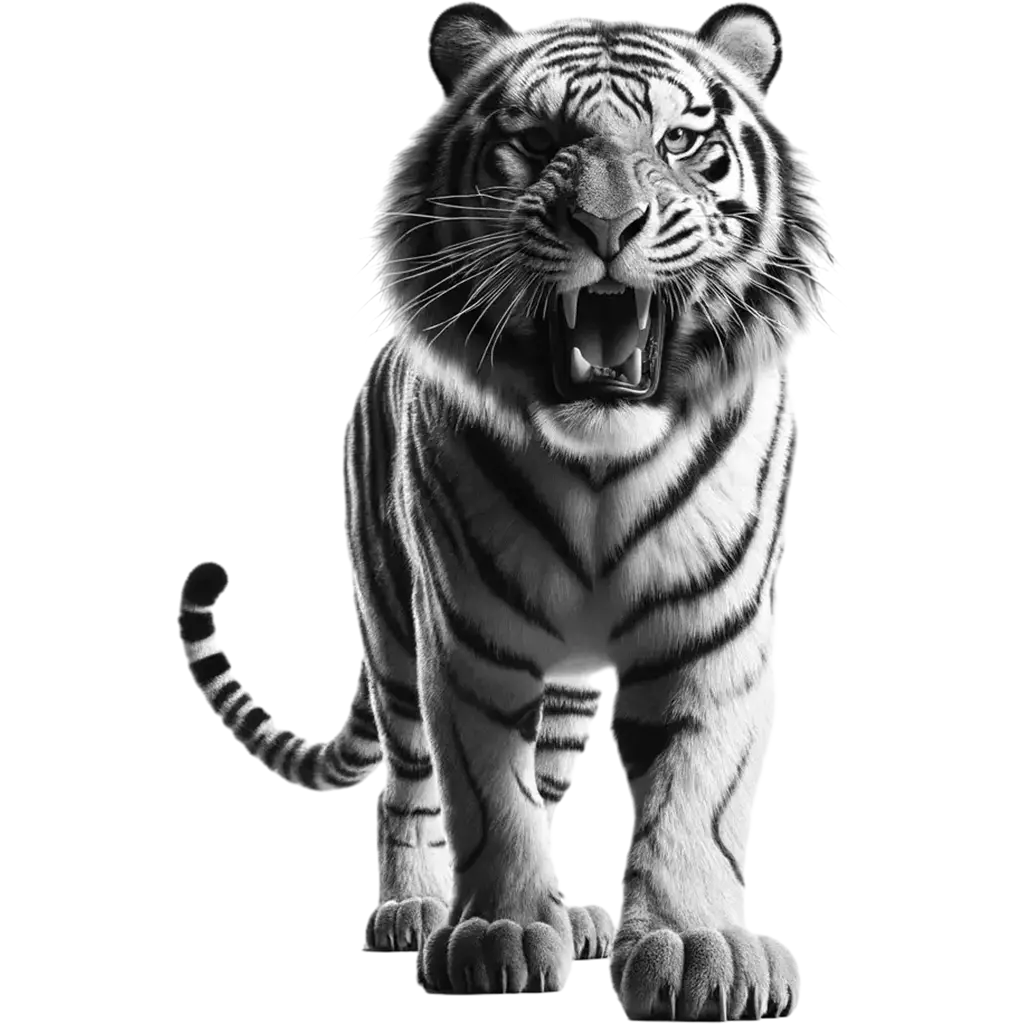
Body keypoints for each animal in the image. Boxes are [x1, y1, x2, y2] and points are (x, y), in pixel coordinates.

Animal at [177, 0, 836, 1017]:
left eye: (683, 142)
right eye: (534, 143)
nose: (607, 225)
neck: (606, 463)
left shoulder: (715, 633)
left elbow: (696, 798)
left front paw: (697, 946)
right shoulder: (468, 640)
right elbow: (491, 801)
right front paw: (497, 936)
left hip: (562, 692)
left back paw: (584, 920)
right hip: (395, 640)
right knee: (405, 788)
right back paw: (410, 911)